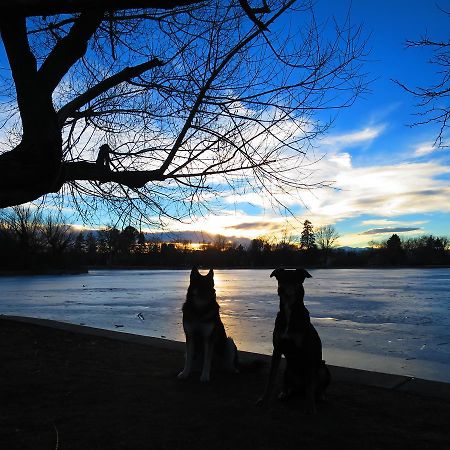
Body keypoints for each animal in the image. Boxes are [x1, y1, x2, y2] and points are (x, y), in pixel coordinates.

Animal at [258, 268, 328, 412]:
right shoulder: (277, 350)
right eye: (280, 279)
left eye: (293, 279)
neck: (289, 312)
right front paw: (264, 400)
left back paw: (321, 395)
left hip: (322, 367)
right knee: (292, 386)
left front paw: (311, 408)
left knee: (316, 387)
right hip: (288, 370)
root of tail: (300, 388)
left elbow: (310, 386)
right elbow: (271, 379)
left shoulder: (307, 353)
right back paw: (285, 392)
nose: (281, 289)